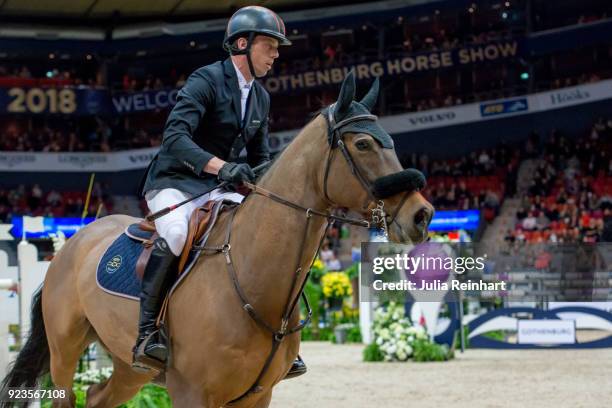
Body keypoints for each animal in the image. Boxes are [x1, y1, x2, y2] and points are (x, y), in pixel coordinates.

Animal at [0, 71, 432, 406]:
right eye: (363, 144)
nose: (422, 214)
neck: (253, 279)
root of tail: (73, 243)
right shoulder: (192, 393)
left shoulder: (257, 396)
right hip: (65, 353)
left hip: (128, 368)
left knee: (97, 397)